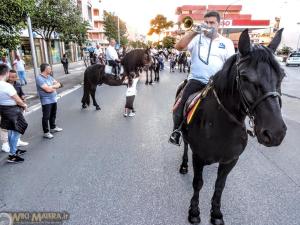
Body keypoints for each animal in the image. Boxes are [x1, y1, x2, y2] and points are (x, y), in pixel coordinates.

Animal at [173, 29, 286, 224]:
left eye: (282, 75)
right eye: (245, 77)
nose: (275, 133)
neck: (220, 123)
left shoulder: (230, 160)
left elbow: (220, 186)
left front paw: (216, 213)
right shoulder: (198, 157)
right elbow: (198, 183)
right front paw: (194, 211)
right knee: (186, 145)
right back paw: (184, 165)